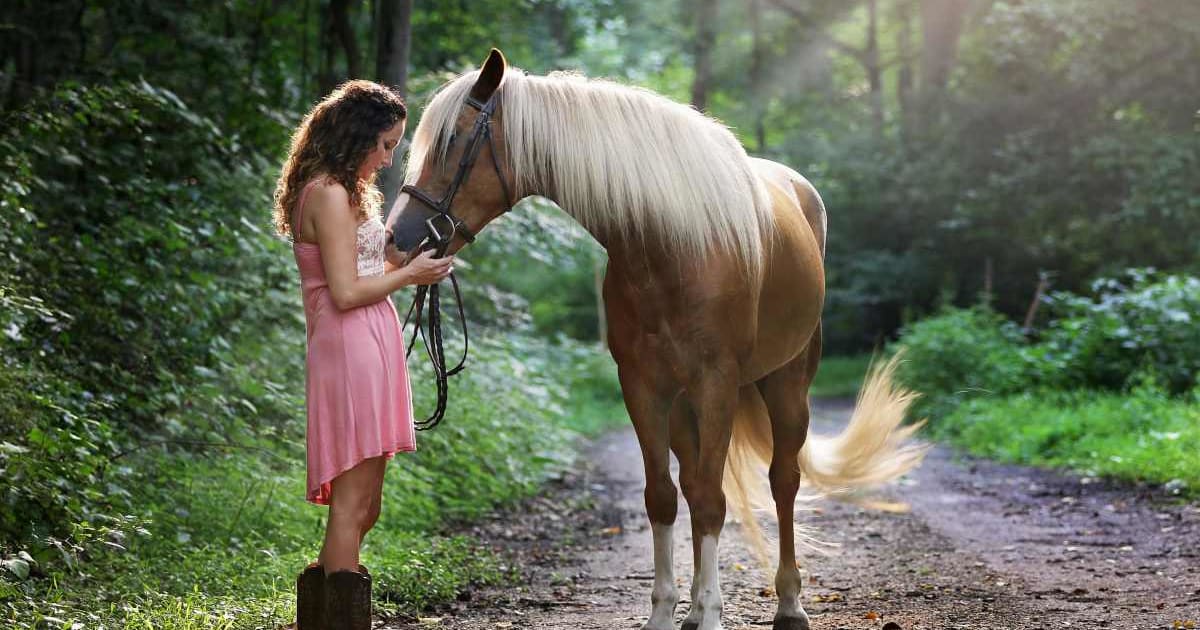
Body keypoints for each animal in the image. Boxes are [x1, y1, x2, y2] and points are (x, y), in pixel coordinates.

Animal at [388, 49, 926, 630]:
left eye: (453, 141)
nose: (397, 239)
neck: (670, 246)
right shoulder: (644, 387)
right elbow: (663, 498)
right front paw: (669, 613)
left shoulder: (716, 384)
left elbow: (713, 501)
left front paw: (711, 613)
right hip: (686, 405)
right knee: (692, 483)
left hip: (786, 385)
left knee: (783, 480)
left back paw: (789, 604)